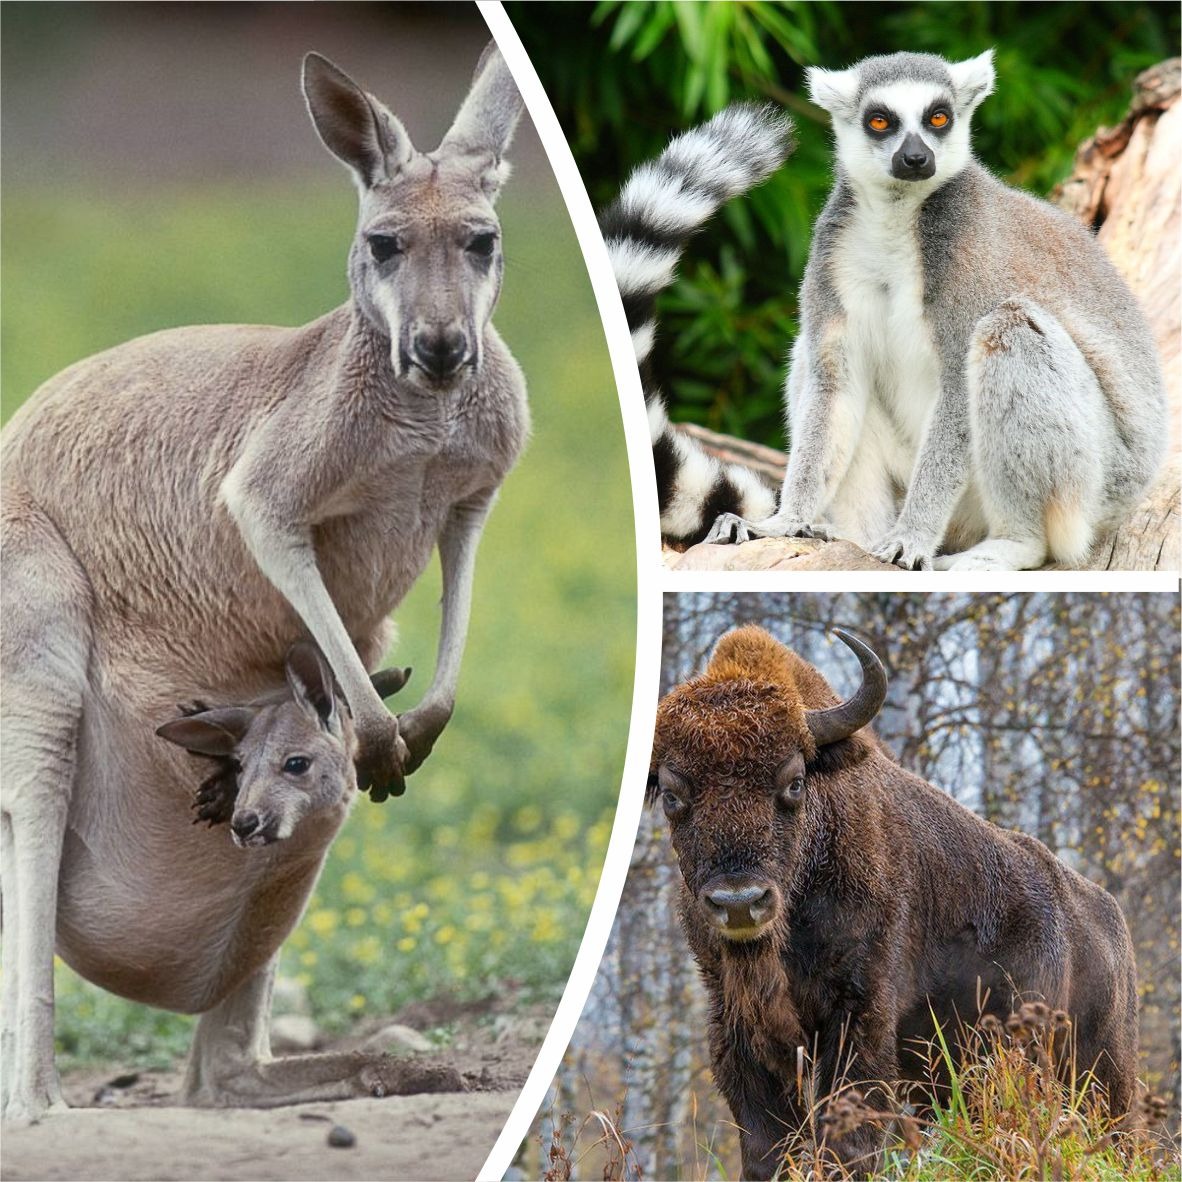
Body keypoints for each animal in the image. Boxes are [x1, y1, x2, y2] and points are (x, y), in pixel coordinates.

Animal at [652, 628, 1139, 1172]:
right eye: (671, 795)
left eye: (793, 782)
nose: (739, 901)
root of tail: (1107, 921)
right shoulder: (736, 1026)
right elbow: (766, 1144)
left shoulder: (860, 1013)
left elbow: (848, 1134)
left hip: (1094, 1072)